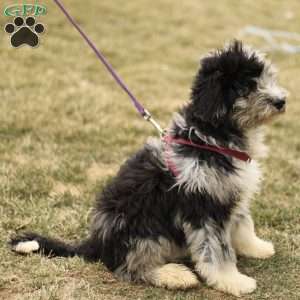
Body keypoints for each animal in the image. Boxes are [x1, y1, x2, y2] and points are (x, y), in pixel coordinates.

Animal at [10, 41, 288, 296]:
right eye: (246, 86)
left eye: (266, 78)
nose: (281, 101)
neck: (212, 136)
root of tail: (97, 243)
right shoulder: (204, 206)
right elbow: (216, 249)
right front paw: (233, 281)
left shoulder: (228, 193)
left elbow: (242, 223)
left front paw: (256, 247)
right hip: (142, 230)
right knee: (130, 266)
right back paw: (173, 275)